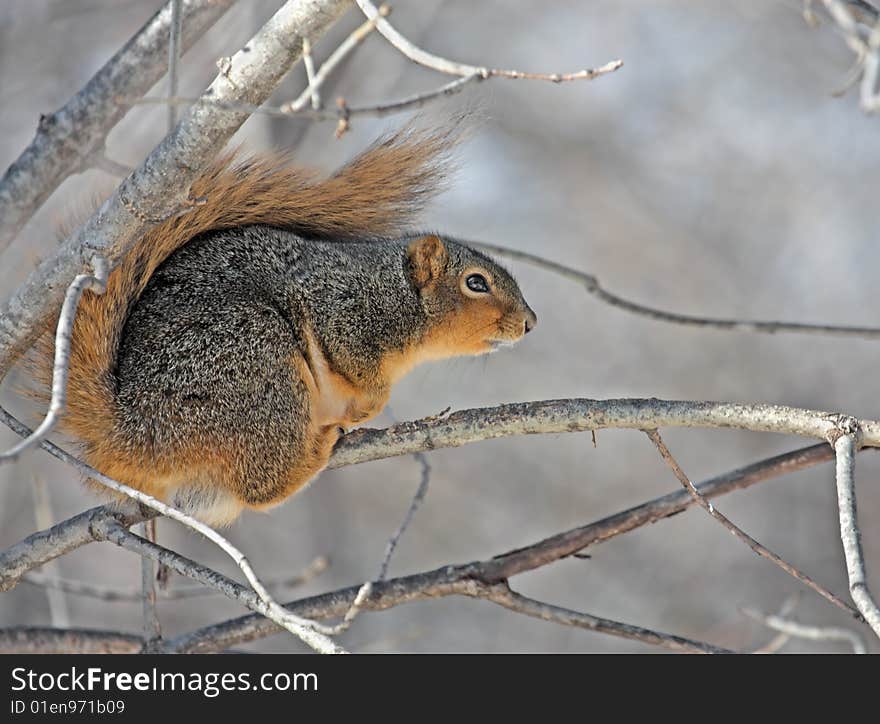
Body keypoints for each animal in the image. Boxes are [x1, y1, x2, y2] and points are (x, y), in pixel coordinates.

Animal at [31, 126, 536, 528]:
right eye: (476, 283)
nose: (531, 322)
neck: (396, 294)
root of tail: (132, 428)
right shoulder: (341, 309)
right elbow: (356, 364)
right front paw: (367, 405)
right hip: (261, 364)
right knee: (262, 486)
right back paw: (320, 446)